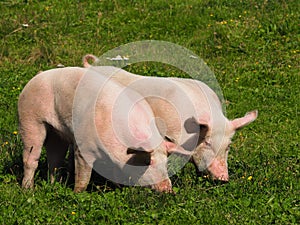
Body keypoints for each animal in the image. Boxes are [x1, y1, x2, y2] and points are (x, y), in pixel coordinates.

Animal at [18, 67, 190, 193]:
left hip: (56, 132)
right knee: (30, 157)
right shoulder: (83, 148)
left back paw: (55, 185)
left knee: (55, 160)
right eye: (149, 162)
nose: (167, 189)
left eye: (166, 162)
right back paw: (28, 189)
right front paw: (77, 193)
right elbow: (83, 176)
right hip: (29, 118)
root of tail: (37, 76)